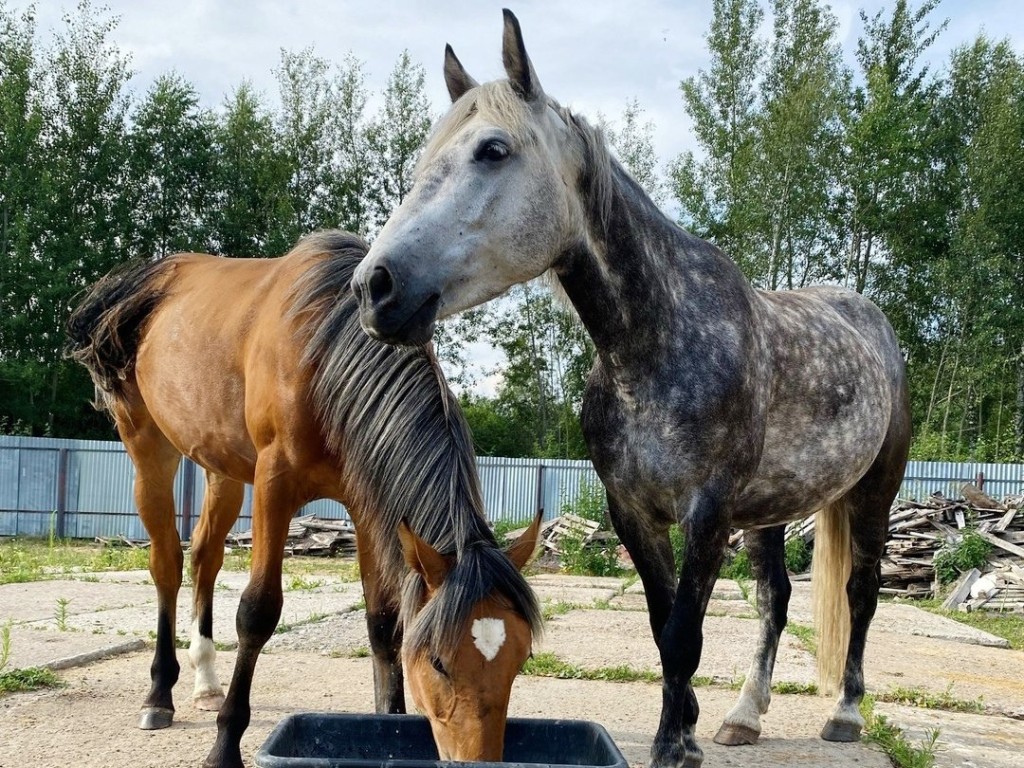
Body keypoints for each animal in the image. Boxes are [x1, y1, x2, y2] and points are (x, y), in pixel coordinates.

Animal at [65, 231, 544, 768]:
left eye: (521, 658)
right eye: (439, 662)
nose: (480, 758)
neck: (325, 354)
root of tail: (148, 283)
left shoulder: (365, 505)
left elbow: (383, 623)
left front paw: (389, 721)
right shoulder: (274, 483)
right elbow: (257, 612)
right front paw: (224, 745)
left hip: (220, 468)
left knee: (205, 557)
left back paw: (205, 680)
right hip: (149, 449)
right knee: (167, 562)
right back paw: (159, 695)